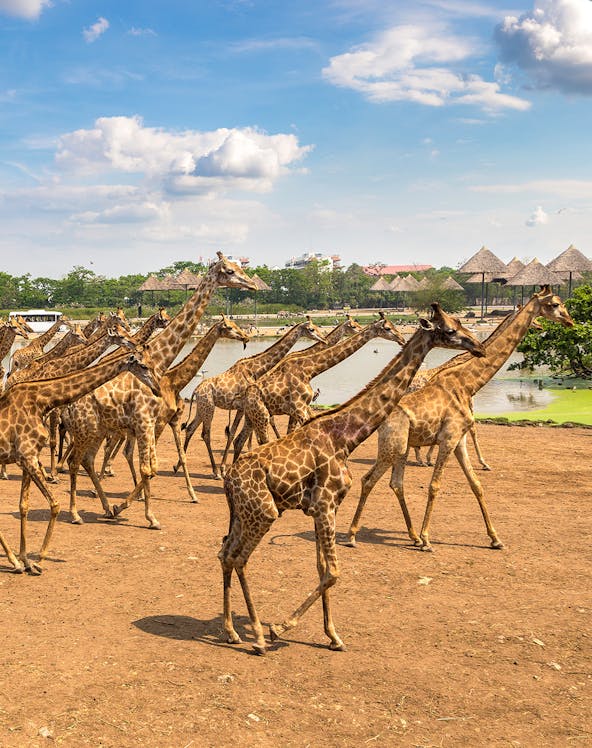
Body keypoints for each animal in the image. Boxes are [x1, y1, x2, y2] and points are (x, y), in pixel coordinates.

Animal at [0, 346, 159, 574]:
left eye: (153, 364)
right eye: (144, 366)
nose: (157, 389)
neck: (42, 400)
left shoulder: (26, 459)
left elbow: (24, 506)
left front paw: (25, 560)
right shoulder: (28, 457)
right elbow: (54, 505)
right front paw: (38, 560)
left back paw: (14, 561)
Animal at [60, 252, 257, 529]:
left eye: (240, 267)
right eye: (229, 270)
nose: (253, 285)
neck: (161, 365)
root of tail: (68, 407)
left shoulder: (152, 422)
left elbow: (153, 466)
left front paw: (127, 507)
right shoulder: (146, 422)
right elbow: (147, 468)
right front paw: (150, 516)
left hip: (97, 430)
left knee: (87, 460)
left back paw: (106, 507)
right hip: (85, 430)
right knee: (75, 461)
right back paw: (76, 513)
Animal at [179, 316, 327, 478]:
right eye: (311, 329)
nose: (324, 339)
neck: (255, 369)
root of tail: (195, 391)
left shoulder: (243, 407)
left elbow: (234, 433)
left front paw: (228, 466)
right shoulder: (246, 405)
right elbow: (239, 434)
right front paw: (225, 468)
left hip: (201, 408)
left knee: (190, 428)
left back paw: (178, 465)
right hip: (209, 407)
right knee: (205, 434)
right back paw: (215, 471)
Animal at [228, 313, 405, 463]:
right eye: (388, 328)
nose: (402, 339)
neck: (309, 370)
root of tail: (246, 394)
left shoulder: (302, 408)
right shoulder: (298, 408)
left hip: (252, 416)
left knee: (239, 440)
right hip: (261, 414)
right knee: (260, 441)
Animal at [346, 286, 574, 551]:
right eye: (555, 304)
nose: (569, 321)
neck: (468, 383)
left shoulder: (460, 440)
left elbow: (476, 484)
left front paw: (496, 538)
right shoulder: (449, 437)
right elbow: (435, 485)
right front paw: (427, 539)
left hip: (400, 448)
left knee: (395, 483)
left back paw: (410, 535)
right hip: (392, 446)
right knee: (368, 479)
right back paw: (354, 535)